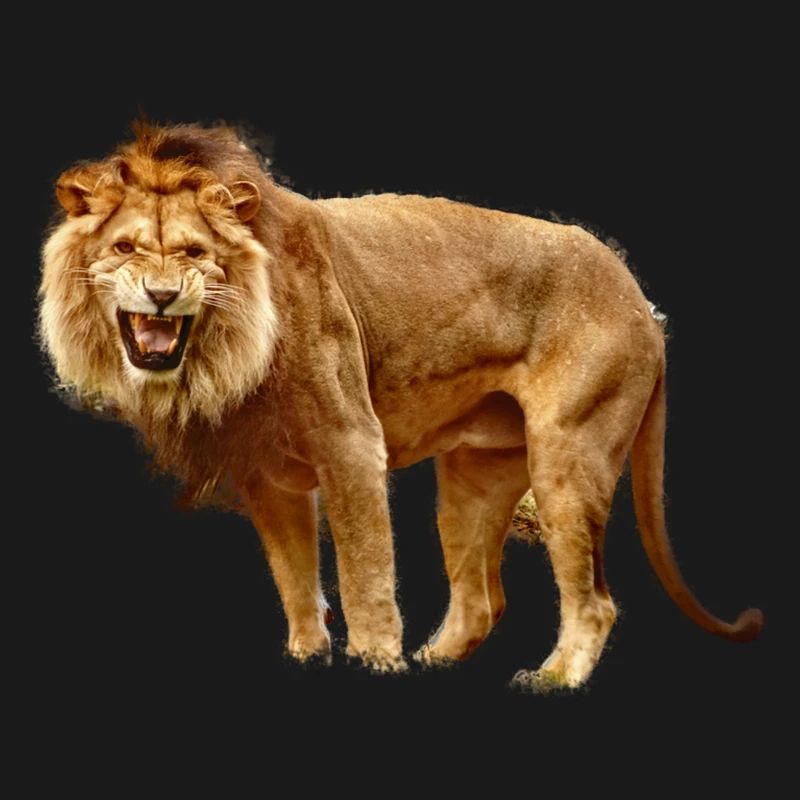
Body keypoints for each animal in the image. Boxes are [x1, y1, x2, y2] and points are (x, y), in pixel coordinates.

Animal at [39, 123, 762, 689]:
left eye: (195, 253)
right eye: (124, 248)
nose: (162, 295)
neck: (223, 353)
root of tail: (644, 304)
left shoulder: (351, 444)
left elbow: (364, 574)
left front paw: (375, 662)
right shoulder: (267, 475)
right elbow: (295, 578)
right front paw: (309, 657)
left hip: (569, 453)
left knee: (593, 602)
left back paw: (552, 678)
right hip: (474, 477)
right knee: (481, 600)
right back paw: (437, 662)